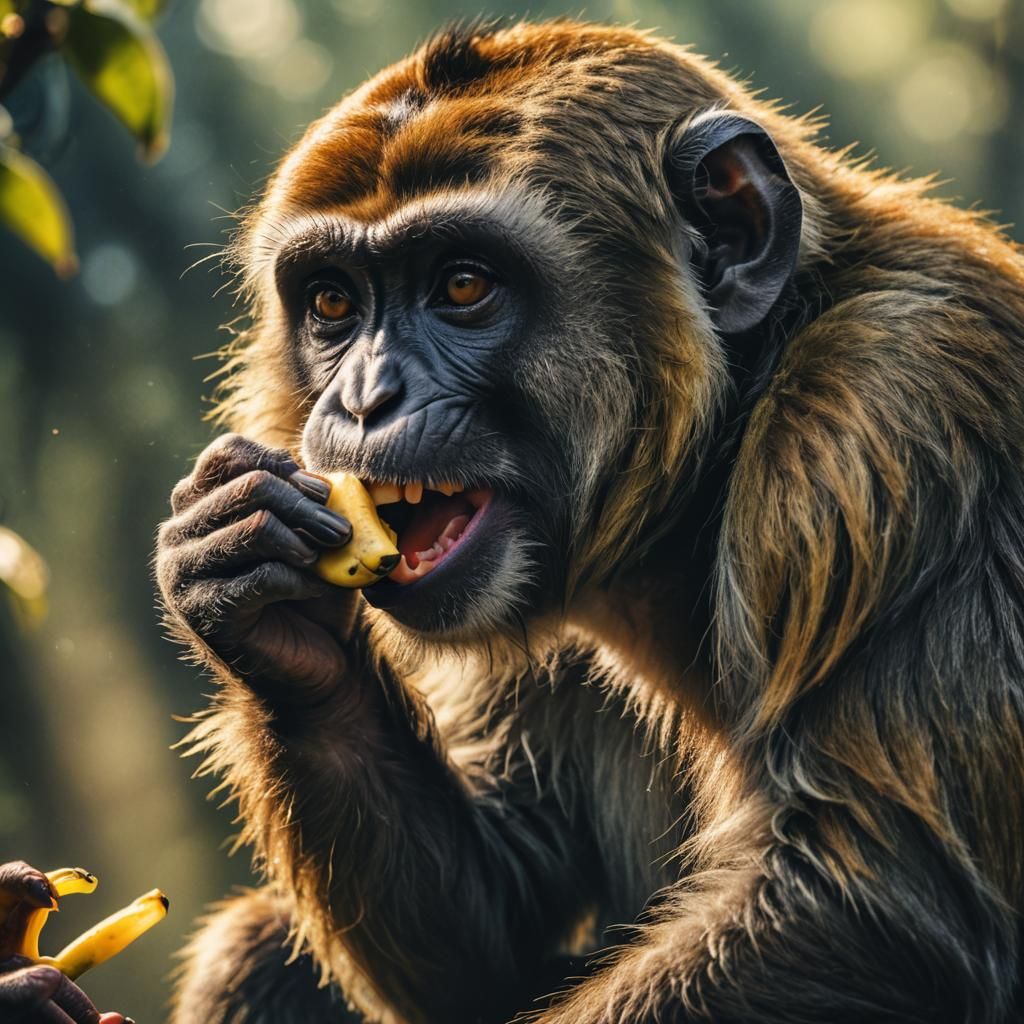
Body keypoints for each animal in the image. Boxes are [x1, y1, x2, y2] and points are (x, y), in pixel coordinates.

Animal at [147, 17, 1024, 1024]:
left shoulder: (889, 408)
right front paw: (245, 587)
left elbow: (867, 896)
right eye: (334, 301)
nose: (365, 398)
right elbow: (498, 914)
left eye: (462, 286)